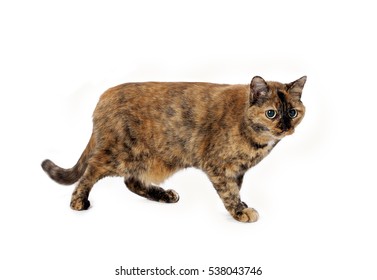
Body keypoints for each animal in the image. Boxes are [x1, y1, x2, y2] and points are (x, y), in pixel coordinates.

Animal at [41, 75, 306, 223]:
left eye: (293, 112)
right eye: (271, 113)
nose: (285, 127)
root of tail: (103, 97)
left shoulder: (237, 171)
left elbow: (236, 190)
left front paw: (241, 206)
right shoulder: (219, 167)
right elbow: (229, 193)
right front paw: (240, 213)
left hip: (145, 158)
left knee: (132, 181)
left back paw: (163, 195)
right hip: (119, 154)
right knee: (91, 171)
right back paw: (78, 202)